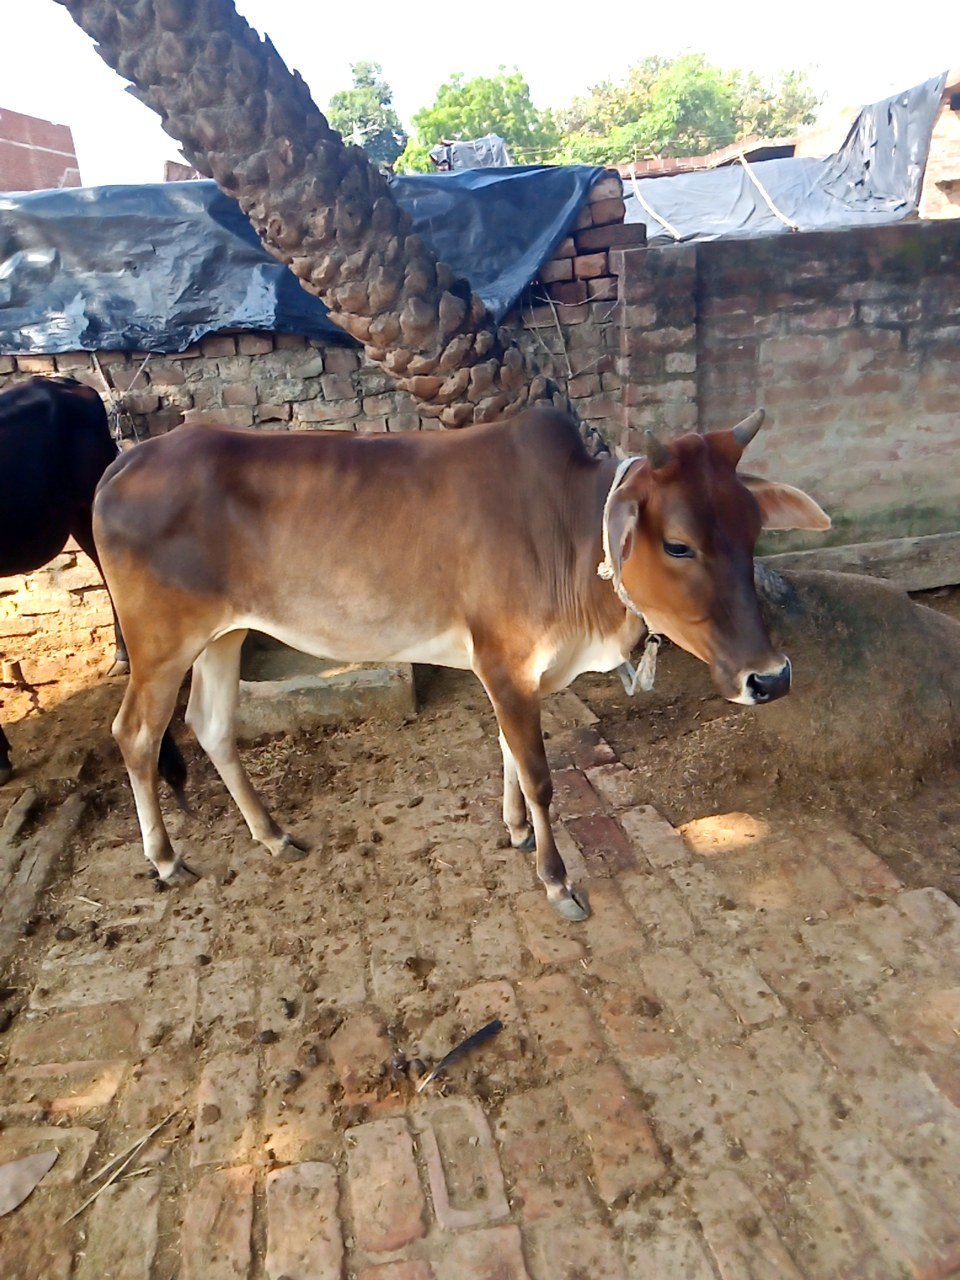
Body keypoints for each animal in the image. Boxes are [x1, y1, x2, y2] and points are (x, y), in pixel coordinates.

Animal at [93, 406, 829, 920]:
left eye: (752, 531)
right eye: (677, 544)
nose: (771, 677)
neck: (570, 536)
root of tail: (128, 462)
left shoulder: (514, 671)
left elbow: (509, 756)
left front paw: (516, 832)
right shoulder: (504, 663)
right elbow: (538, 774)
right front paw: (557, 880)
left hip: (224, 635)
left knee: (211, 726)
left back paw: (273, 836)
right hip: (162, 644)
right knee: (136, 734)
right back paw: (166, 860)